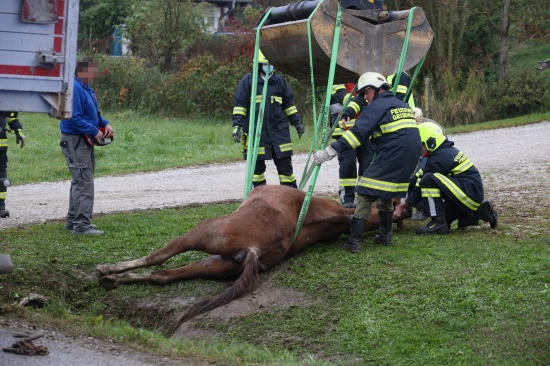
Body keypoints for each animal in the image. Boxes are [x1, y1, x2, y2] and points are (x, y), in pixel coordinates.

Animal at [97, 186, 404, 332]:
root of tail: (256, 249)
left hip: (203, 233)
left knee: (157, 259)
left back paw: (108, 270)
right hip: (216, 265)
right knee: (163, 276)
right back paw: (113, 279)